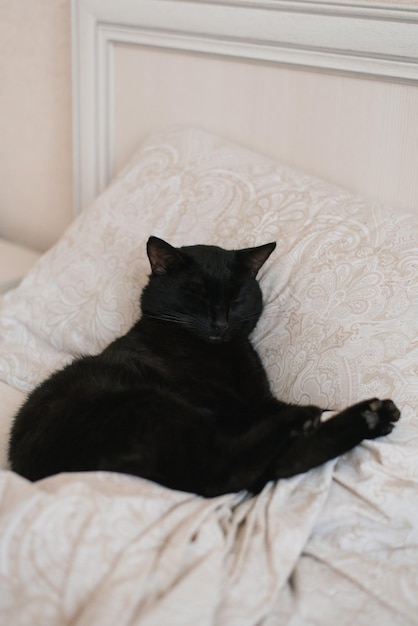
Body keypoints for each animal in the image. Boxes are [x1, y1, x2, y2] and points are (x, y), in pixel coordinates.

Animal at [8, 236, 400, 494]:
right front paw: (314, 411)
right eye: (195, 294)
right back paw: (309, 418)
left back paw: (371, 415)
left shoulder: (259, 399)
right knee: (225, 474)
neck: (218, 351)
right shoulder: (236, 406)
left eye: (236, 297)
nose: (220, 323)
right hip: (150, 406)